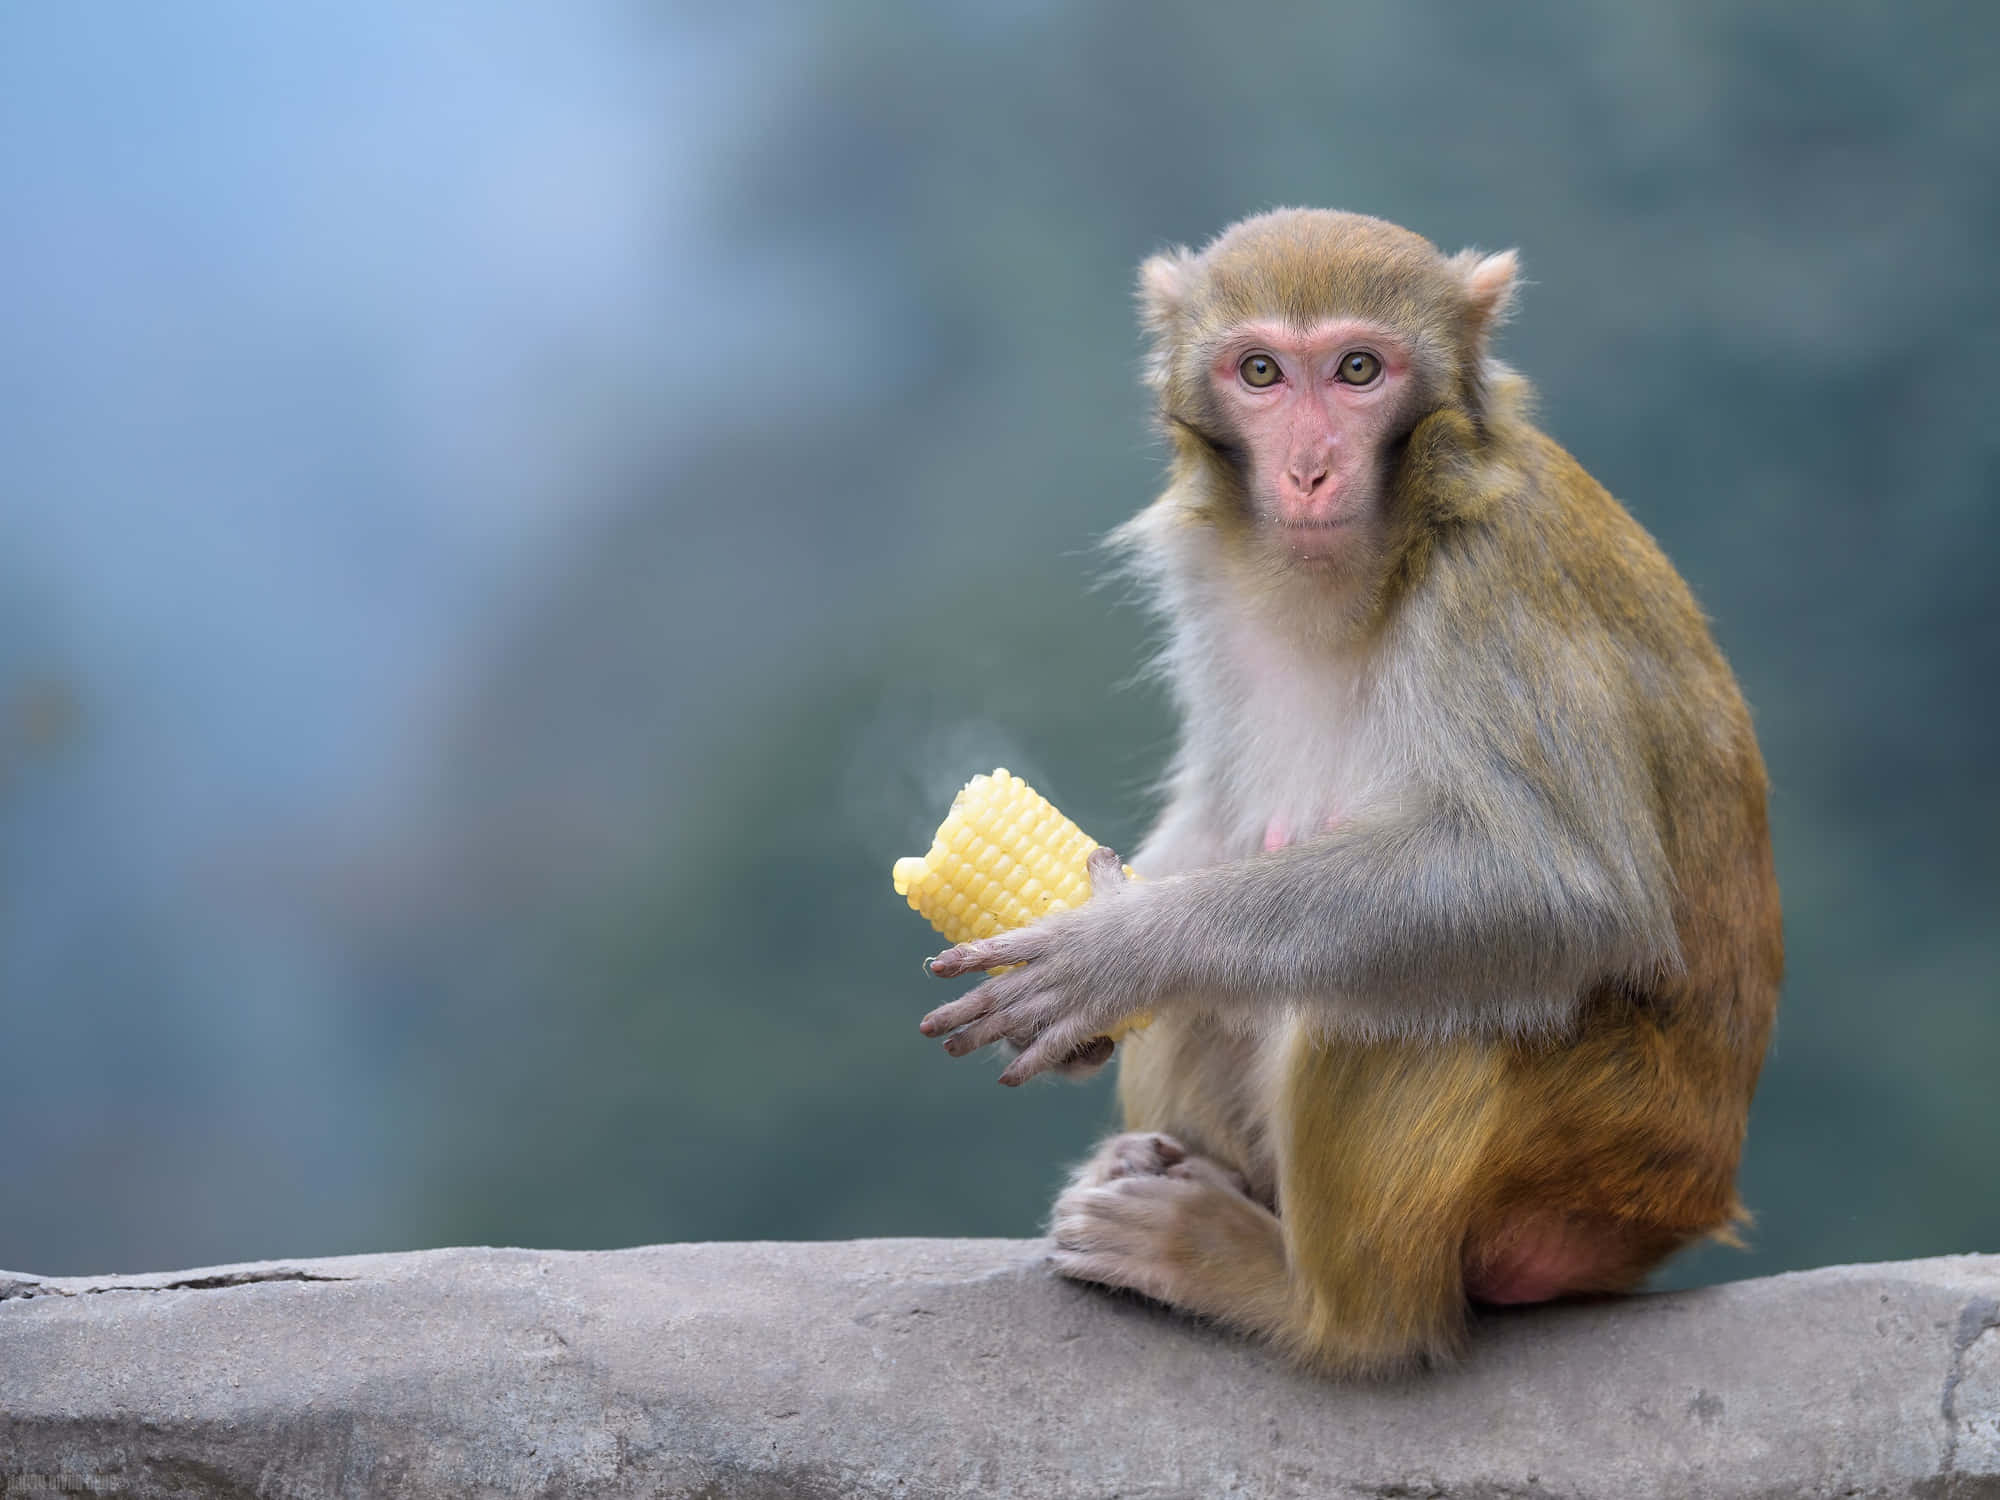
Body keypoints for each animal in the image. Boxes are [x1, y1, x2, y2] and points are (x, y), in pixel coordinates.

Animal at [918, 208, 1783, 1377]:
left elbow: (1558, 886)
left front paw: (1119, 949)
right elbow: (1215, 819)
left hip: (1598, 1161)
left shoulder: (1491, 580)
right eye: (1261, 372)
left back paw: (1300, 1304)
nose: (1313, 469)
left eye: (1359, 370)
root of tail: (1685, 1204)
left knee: (1384, 991)